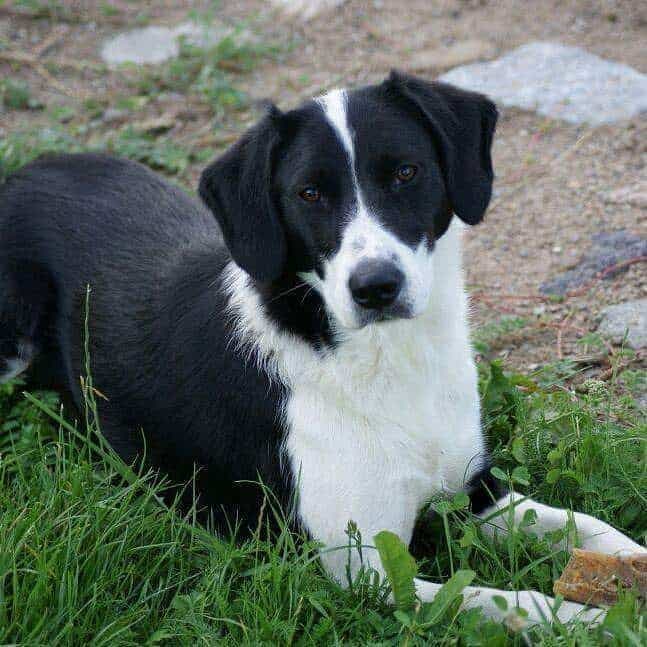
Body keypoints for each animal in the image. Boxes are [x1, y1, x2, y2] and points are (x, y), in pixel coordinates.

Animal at [1, 72, 644, 628]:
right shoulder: (367, 574)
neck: (388, 362)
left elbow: (589, 527)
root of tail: (23, 171)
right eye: (309, 193)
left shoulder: (474, 489)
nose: (376, 286)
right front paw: (595, 621)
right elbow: (507, 600)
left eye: (406, 172)